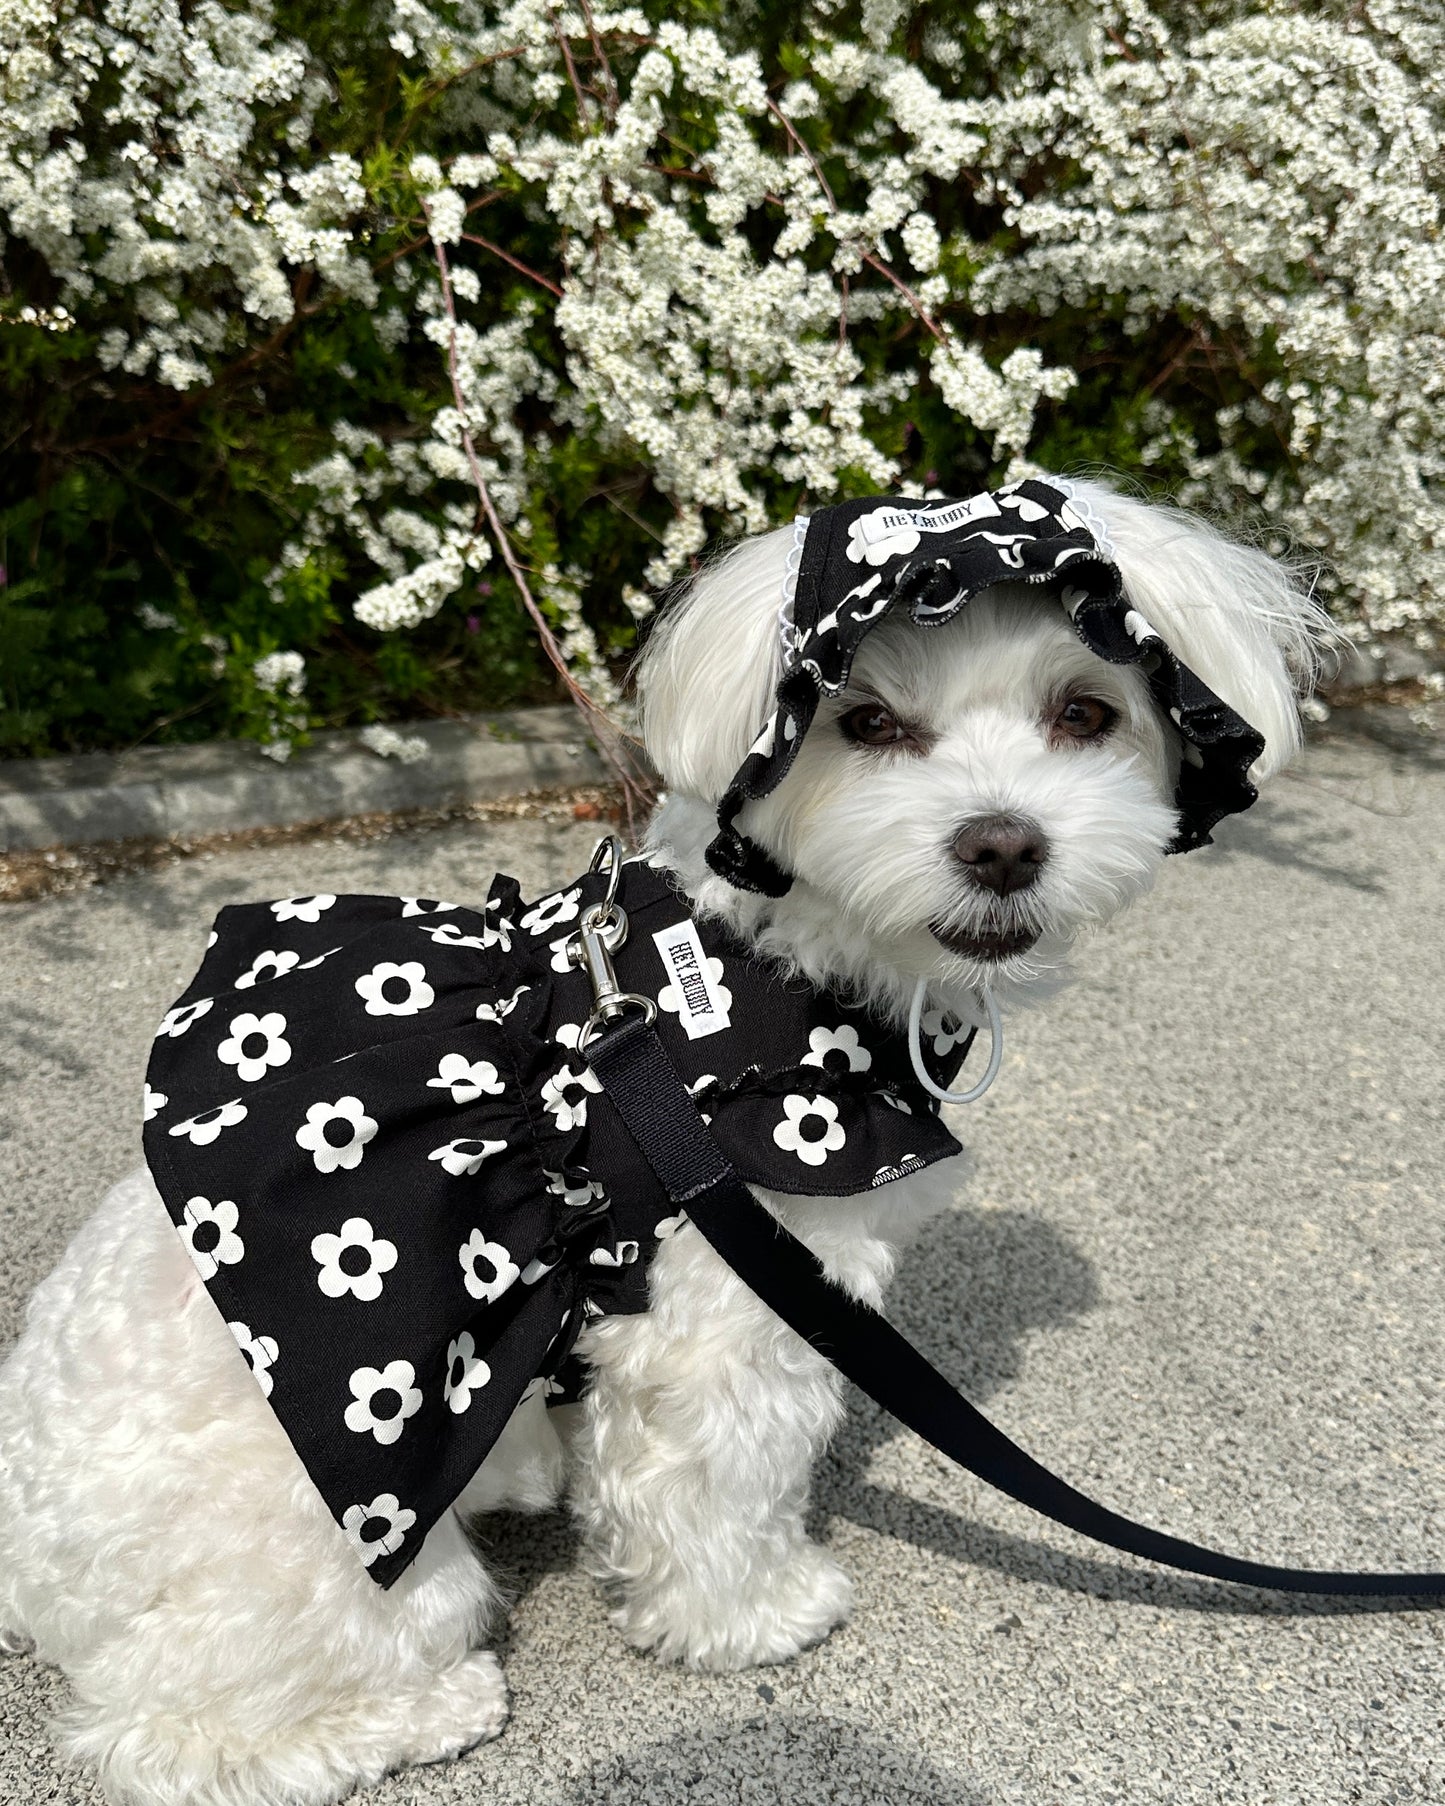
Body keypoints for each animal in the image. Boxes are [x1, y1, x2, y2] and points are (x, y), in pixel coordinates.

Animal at [0, 484, 1322, 1806]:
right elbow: (720, 1479)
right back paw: (430, 1709)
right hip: (349, 1577)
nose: (1001, 845)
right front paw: (756, 1616)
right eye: (866, 722)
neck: (769, 967)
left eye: (1084, 712)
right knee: (173, 1741)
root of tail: (24, 1562)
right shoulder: (726, 1308)